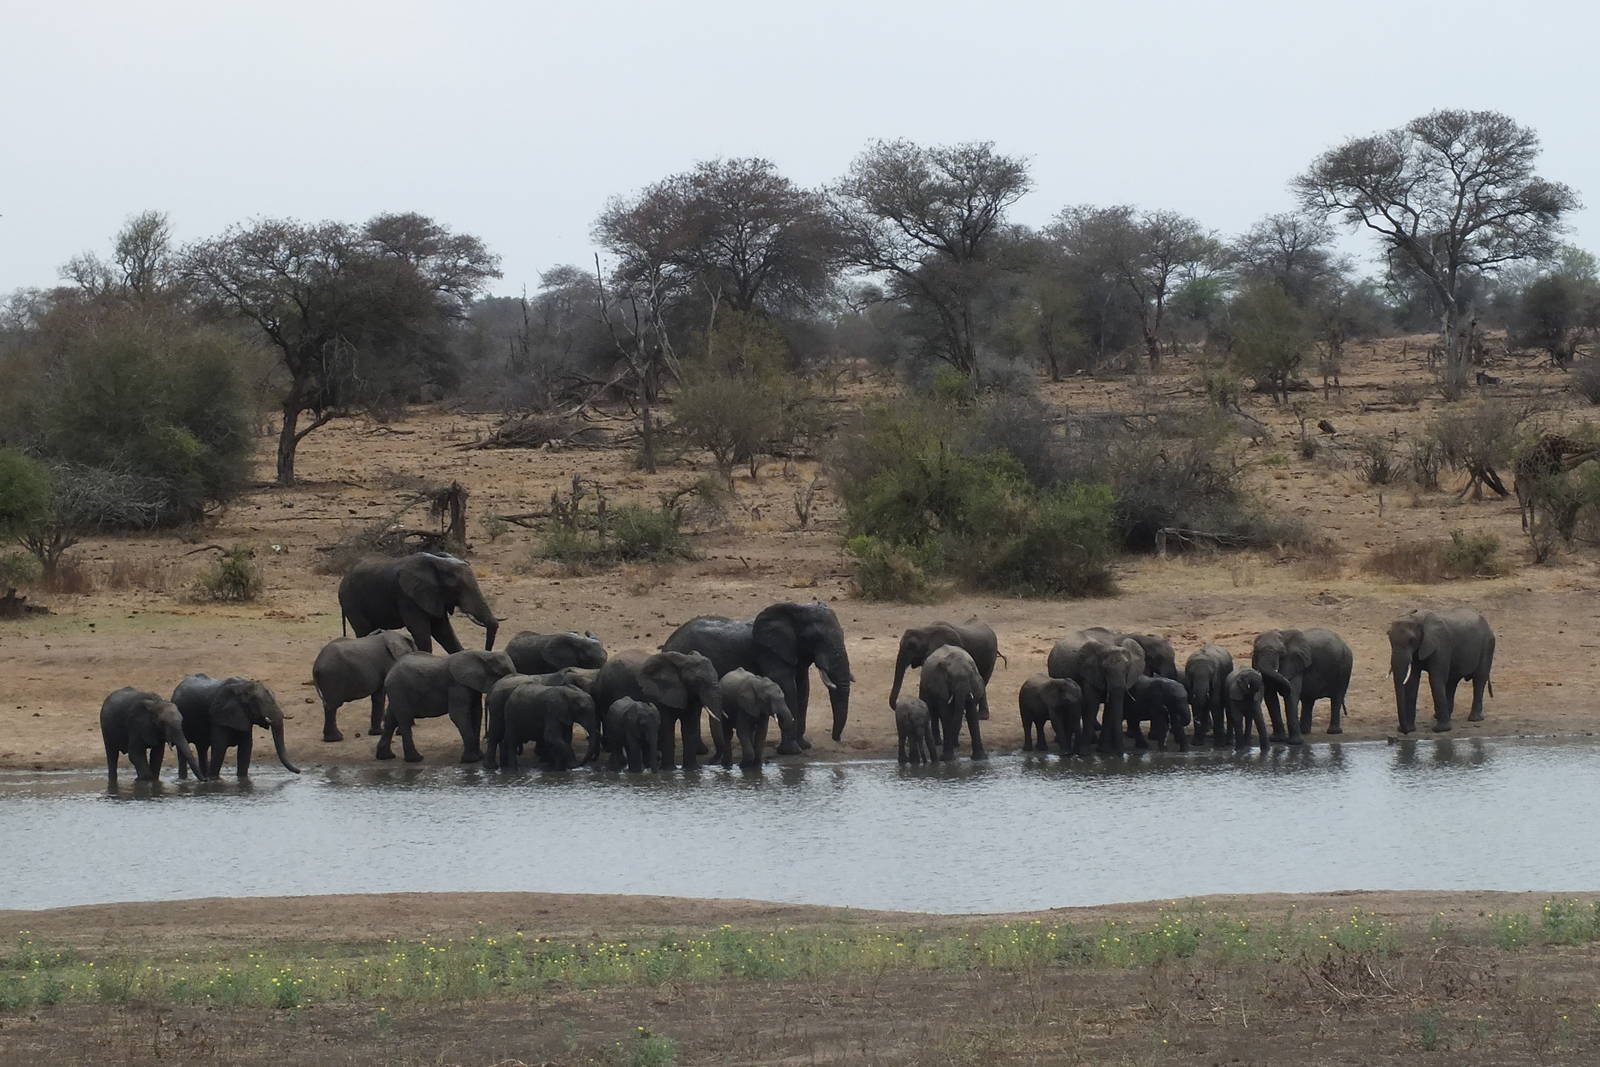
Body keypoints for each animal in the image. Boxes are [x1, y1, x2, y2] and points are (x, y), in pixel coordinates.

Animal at [170, 674, 300, 779]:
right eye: (257, 702)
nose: (299, 771)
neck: (243, 686)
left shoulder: (244, 716)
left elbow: (246, 748)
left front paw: (242, 779)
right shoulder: (219, 716)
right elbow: (219, 748)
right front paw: (214, 780)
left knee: (202, 747)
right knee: (183, 752)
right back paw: (184, 779)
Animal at [338, 552, 498, 654]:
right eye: (457, 588)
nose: (487, 651)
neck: (438, 562)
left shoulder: (434, 597)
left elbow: (444, 632)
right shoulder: (407, 597)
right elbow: (421, 632)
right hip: (351, 601)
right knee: (363, 630)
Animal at [377, 649, 517, 762]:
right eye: (501, 674)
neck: (484, 654)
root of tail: (390, 671)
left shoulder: (471, 685)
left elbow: (476, 713)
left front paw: (479, 757)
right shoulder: (457, 685)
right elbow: (458, 715)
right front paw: (471, 760)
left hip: (396, 692)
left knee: (391, 719)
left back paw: (385, 756)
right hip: (399, 689)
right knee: (404, 719)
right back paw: (416, 759)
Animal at [593, 650, 726, 769]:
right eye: (698, 681)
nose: (711, 761)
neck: (683, 661)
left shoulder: (690, 695)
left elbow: (690, 728)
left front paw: (692, 770)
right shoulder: (660, 694)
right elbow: (666, 727)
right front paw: (669, 770)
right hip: (607, 692)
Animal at [661, 601, 852, 754]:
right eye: (817, 638)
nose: (836, 739)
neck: (795, 609)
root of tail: (668, 642)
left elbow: (803, 690)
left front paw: (804, 746)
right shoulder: (769, 654)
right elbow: (788, 689)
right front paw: (792, 752)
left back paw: (701, 751)